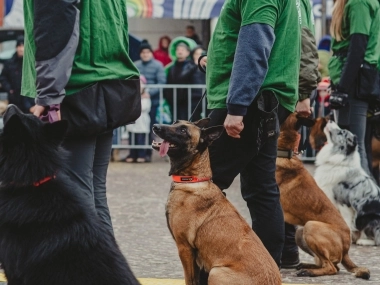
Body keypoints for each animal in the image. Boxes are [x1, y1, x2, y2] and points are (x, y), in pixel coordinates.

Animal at [152, 118, 282, 284]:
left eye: (183, 131)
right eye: (175, 122)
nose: (156, 126)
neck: (192, 180)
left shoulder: (184, 248)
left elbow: (190, 280)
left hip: (216, 272)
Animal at [274, 112, 370, 278]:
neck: (285, 153)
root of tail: (346, 250)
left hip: (310, 226)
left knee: (331, 268)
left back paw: (308, 271)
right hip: (300, 231)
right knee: (331, 265)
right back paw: (306, 266)